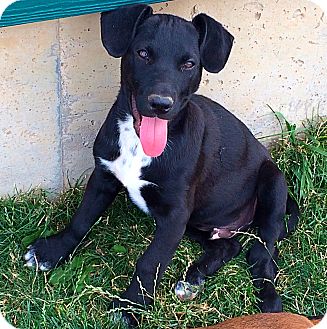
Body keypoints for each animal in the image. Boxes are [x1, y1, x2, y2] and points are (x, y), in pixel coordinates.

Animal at [23, 4, 300, 326]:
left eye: (189, 64)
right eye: (143, 53)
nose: (160, 104)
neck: (139, 144)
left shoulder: (174, 215)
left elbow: (150, 262)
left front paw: (131, 306)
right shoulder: (103, 176)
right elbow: (81, 220)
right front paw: (52, 251)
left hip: (272, 184)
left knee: (262, 258)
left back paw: (268, 301)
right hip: (197, 222)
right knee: (229, 246)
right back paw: (193, 279)